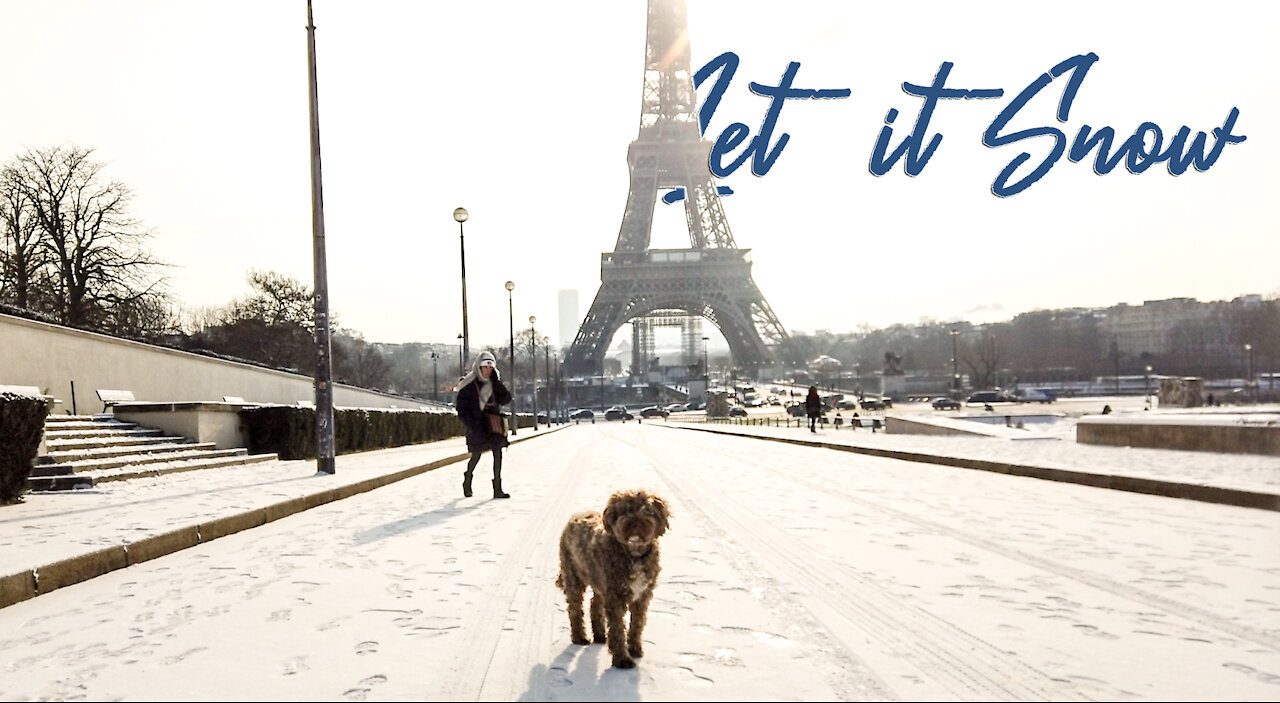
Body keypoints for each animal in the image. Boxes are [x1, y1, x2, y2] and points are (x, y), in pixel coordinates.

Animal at [555, 491, 670, 665]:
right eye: (624, 510)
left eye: (647, 510)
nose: (635, 523)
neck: (633, 554)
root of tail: (576, 516)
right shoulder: (615, 596)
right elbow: (617, 629)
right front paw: (622, 660)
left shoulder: (642, 595)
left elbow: (637, 624)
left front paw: (635, 649)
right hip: (573, 573)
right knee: (575, 608)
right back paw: (579, 637)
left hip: (598, 580)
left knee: (594, 603)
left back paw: (600, 635)